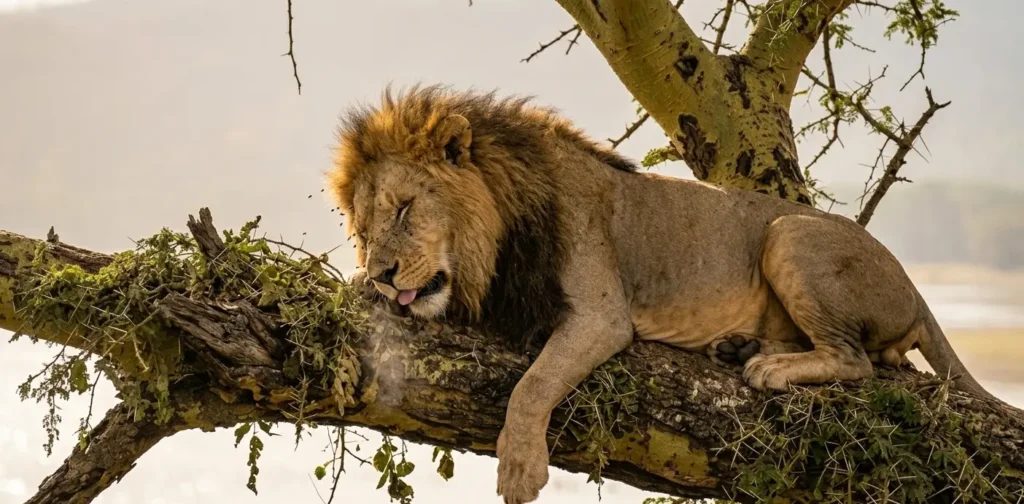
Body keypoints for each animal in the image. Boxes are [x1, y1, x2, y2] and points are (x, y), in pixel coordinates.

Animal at [327, 85, 995, 504]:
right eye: (362, 228)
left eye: (405, 208)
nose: (381, 273)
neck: (498, 237)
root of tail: (914, 286)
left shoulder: (602, 316)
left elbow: (533, 384)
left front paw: (518, 466)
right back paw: (739, 348)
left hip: (788, 232)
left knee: (858, 360)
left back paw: (770, 367)